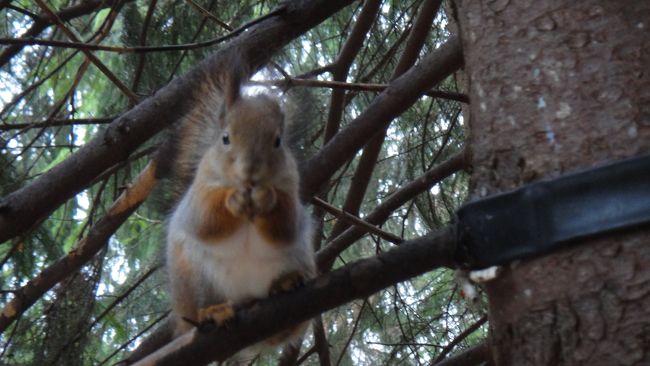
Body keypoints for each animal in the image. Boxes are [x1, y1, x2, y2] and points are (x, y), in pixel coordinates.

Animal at [162, 60, 314, 360]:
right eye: (225, 138)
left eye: (277, 141)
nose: (250, 172)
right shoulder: (199, 193)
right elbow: (205, 220)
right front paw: (233, 200)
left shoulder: (291, 187)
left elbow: (285, 224)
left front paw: (266, 198)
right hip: (193, 278)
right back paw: (214, 311)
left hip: (299, 256)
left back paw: (285, 283)